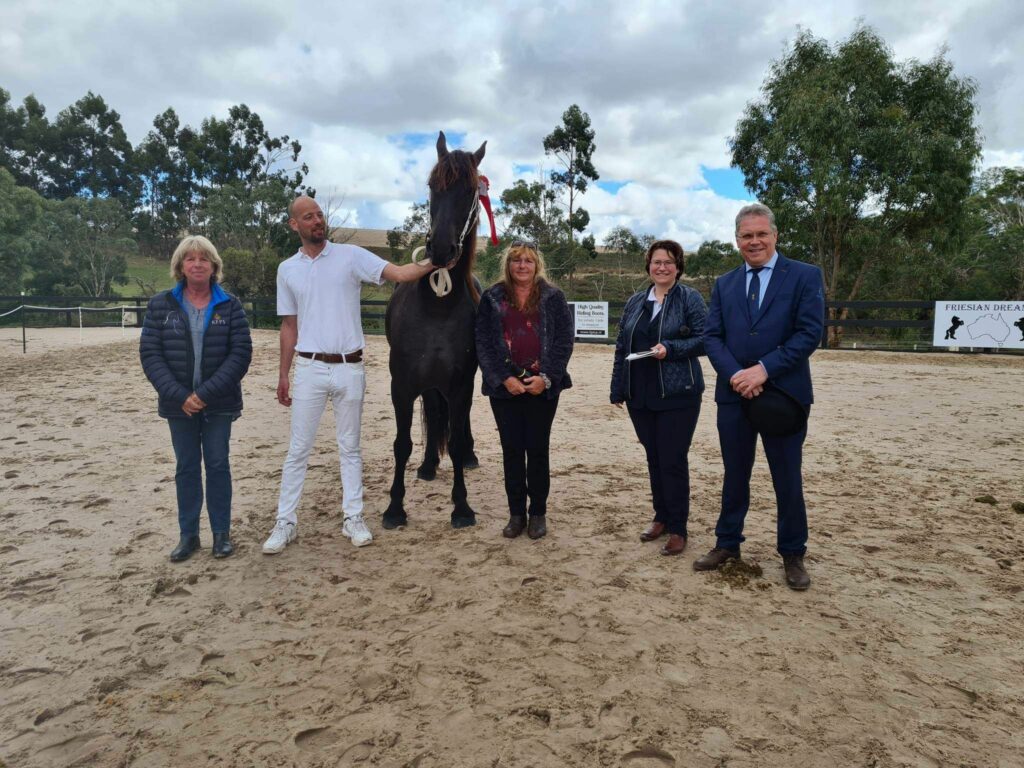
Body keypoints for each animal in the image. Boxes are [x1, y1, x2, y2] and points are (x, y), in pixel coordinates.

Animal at [382, 131, 485, 529]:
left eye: (471, 190)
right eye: (432, 185)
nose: (441, 248)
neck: (437, 306)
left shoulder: (460, 385)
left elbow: (454, 441)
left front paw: (462, 507)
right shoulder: (402, 385)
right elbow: (401, 443)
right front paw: (395, 508)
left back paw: (468, 457)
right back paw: (427, 466)